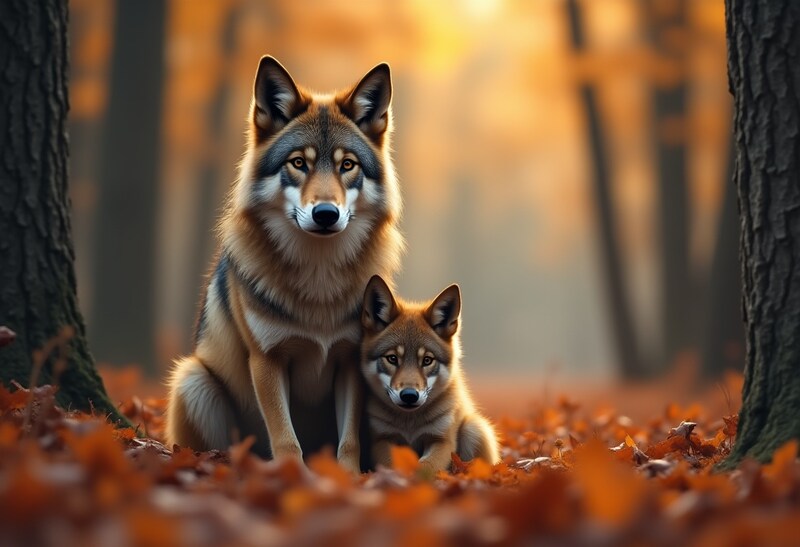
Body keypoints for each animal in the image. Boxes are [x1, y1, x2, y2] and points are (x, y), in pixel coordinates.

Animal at [166, 56, 404, 473]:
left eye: (347, 165)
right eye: (298, 163)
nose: (326, 214)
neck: (319, 278)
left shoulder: (349, 361)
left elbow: (349, 442)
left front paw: (347, 479)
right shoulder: (268, 360)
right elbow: (286, 439)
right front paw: (293, 476)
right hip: (192, 379)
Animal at [360, 275, 500, 472]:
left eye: (427, 360)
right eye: (392, 358)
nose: (409, 395)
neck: (409, 424)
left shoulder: (441, 441)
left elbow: (426, 466)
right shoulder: (382, 439)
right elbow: (391, 464)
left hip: (474, 429)